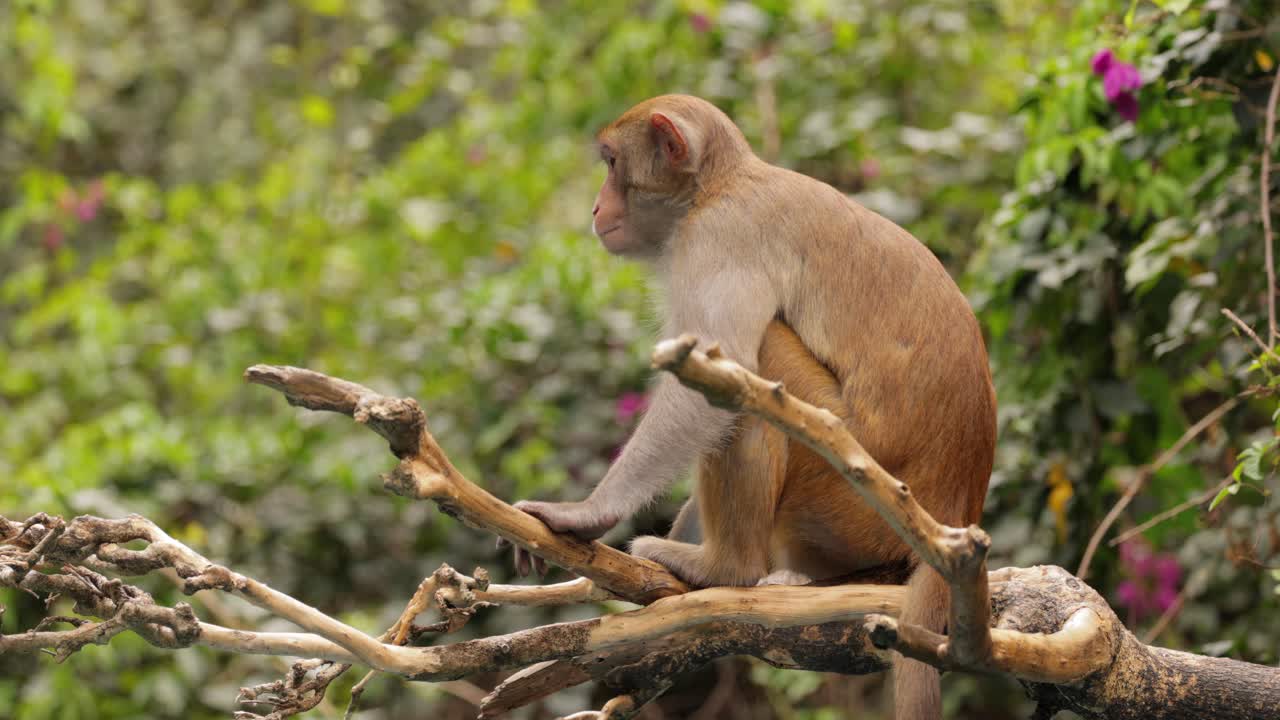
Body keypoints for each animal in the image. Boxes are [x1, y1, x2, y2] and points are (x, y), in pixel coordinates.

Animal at [507, 95, 996, 720]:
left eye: (612, 163)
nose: (596, 205)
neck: (716, 187)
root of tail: (956, 505)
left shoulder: (719, 239)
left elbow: (717, 377)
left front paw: (587, 513)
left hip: (847, 496)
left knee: (752, 374)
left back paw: (726, 567)